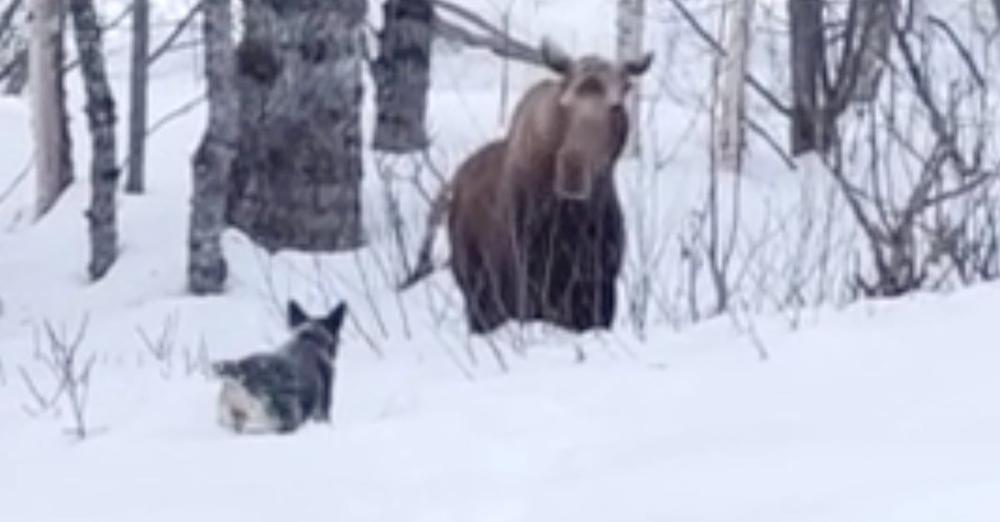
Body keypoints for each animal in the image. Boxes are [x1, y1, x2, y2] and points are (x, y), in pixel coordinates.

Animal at [402, 39, 652, 334]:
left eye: (616, 106)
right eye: (565, 104)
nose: (572, 171)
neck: (574, 219)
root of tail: (452, 186)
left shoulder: (599, 296)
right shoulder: (524, 293)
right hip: (477, 296)